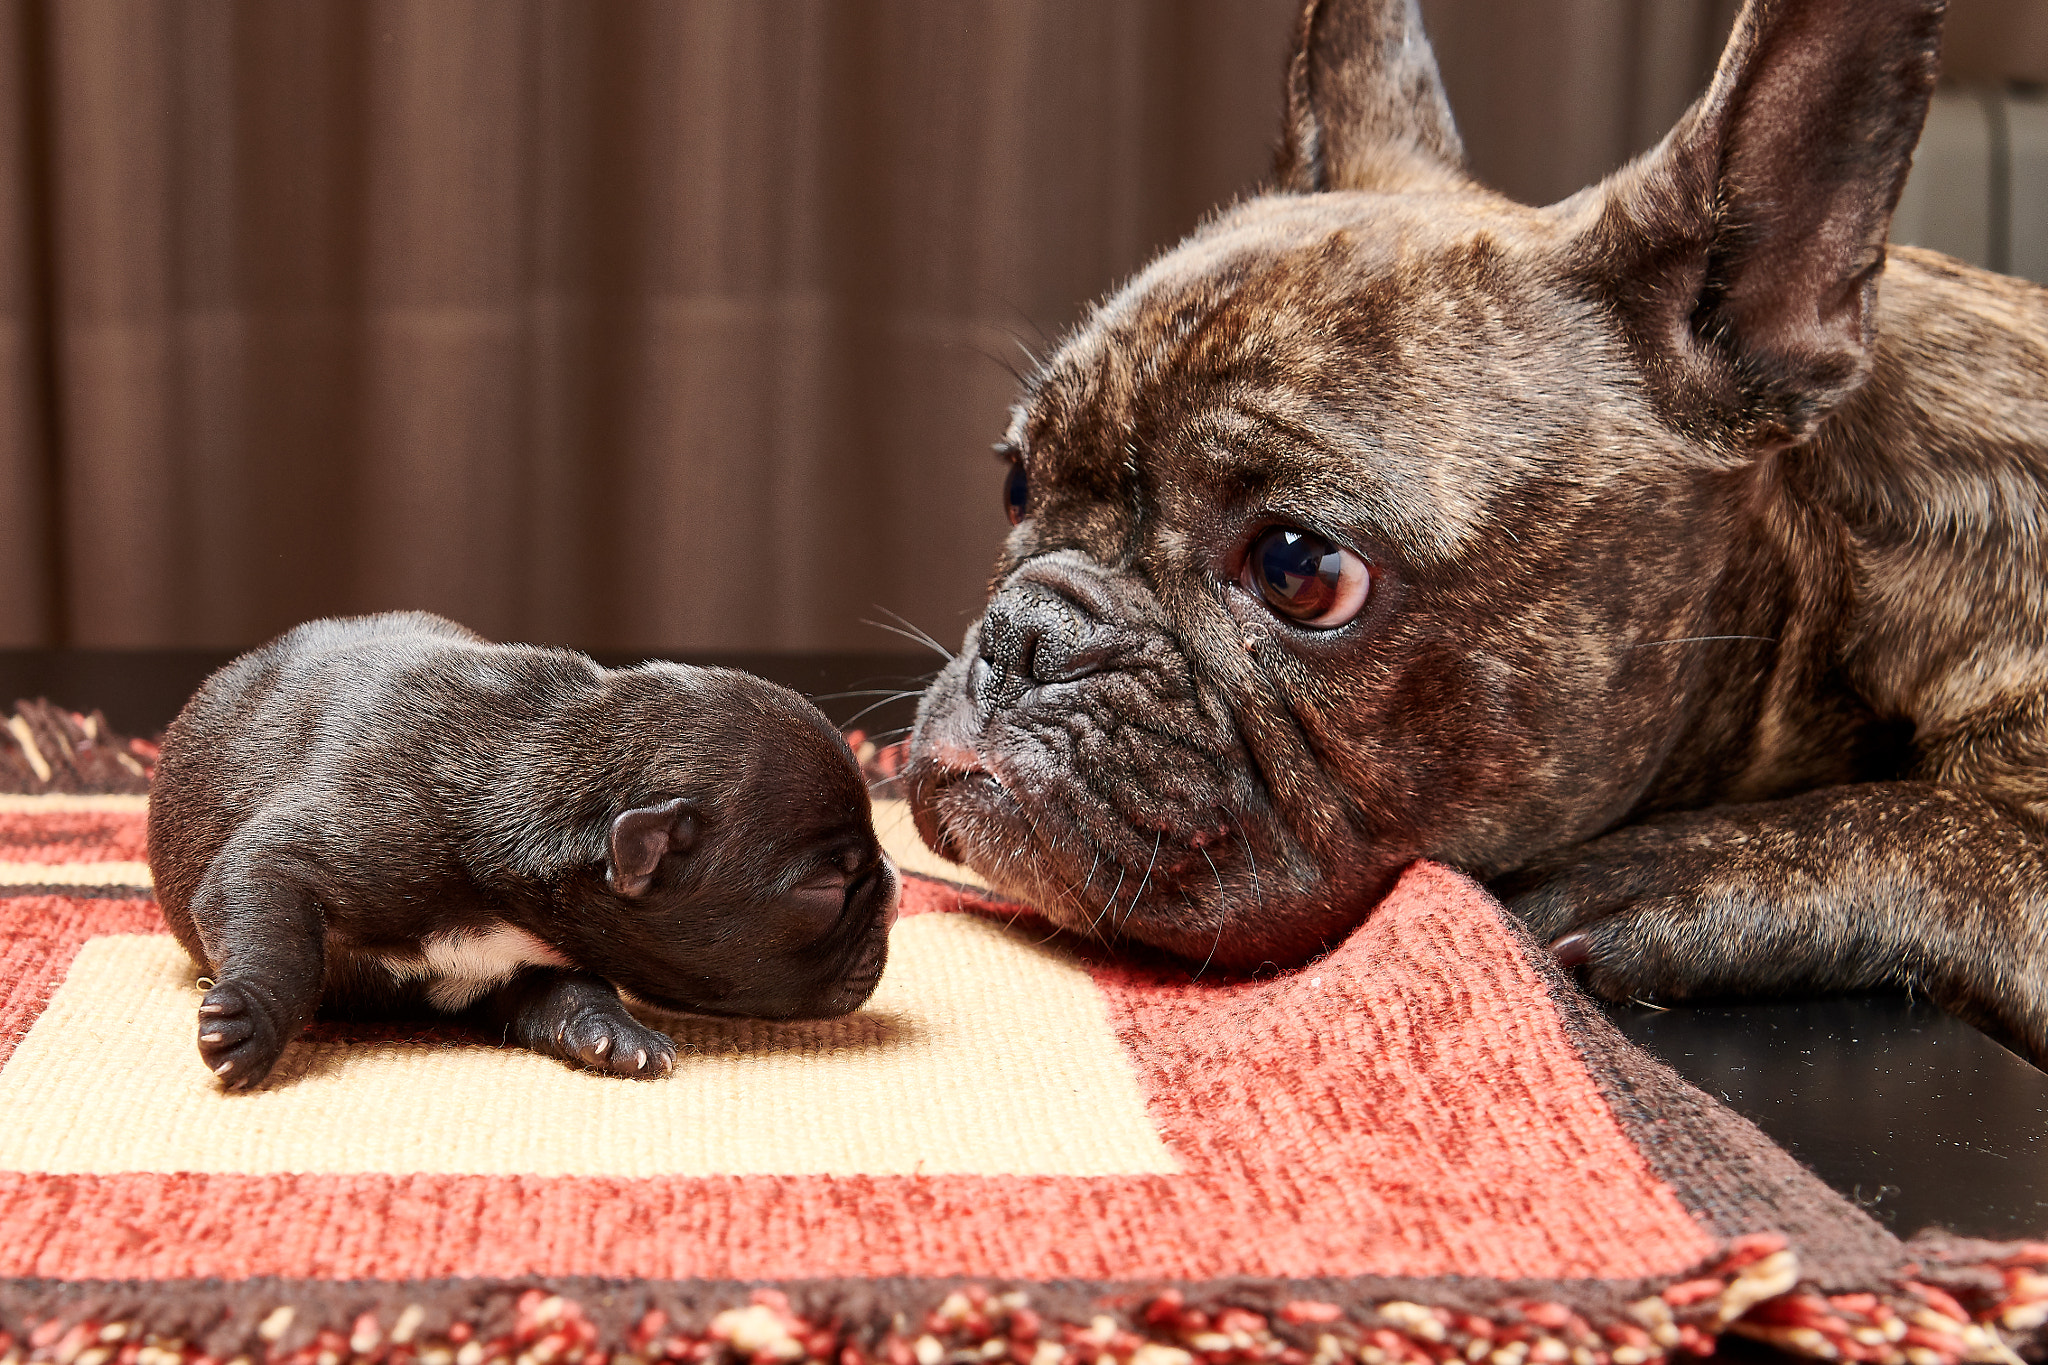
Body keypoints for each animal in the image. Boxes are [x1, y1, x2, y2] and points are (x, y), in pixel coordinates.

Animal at [148, 609, 901, 1088]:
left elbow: (574, 992)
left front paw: (614, 1035)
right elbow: (280, 942)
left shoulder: (527, 962)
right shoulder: (293, 857)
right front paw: (249, 1018)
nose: (896, 889)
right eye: (827, 888)